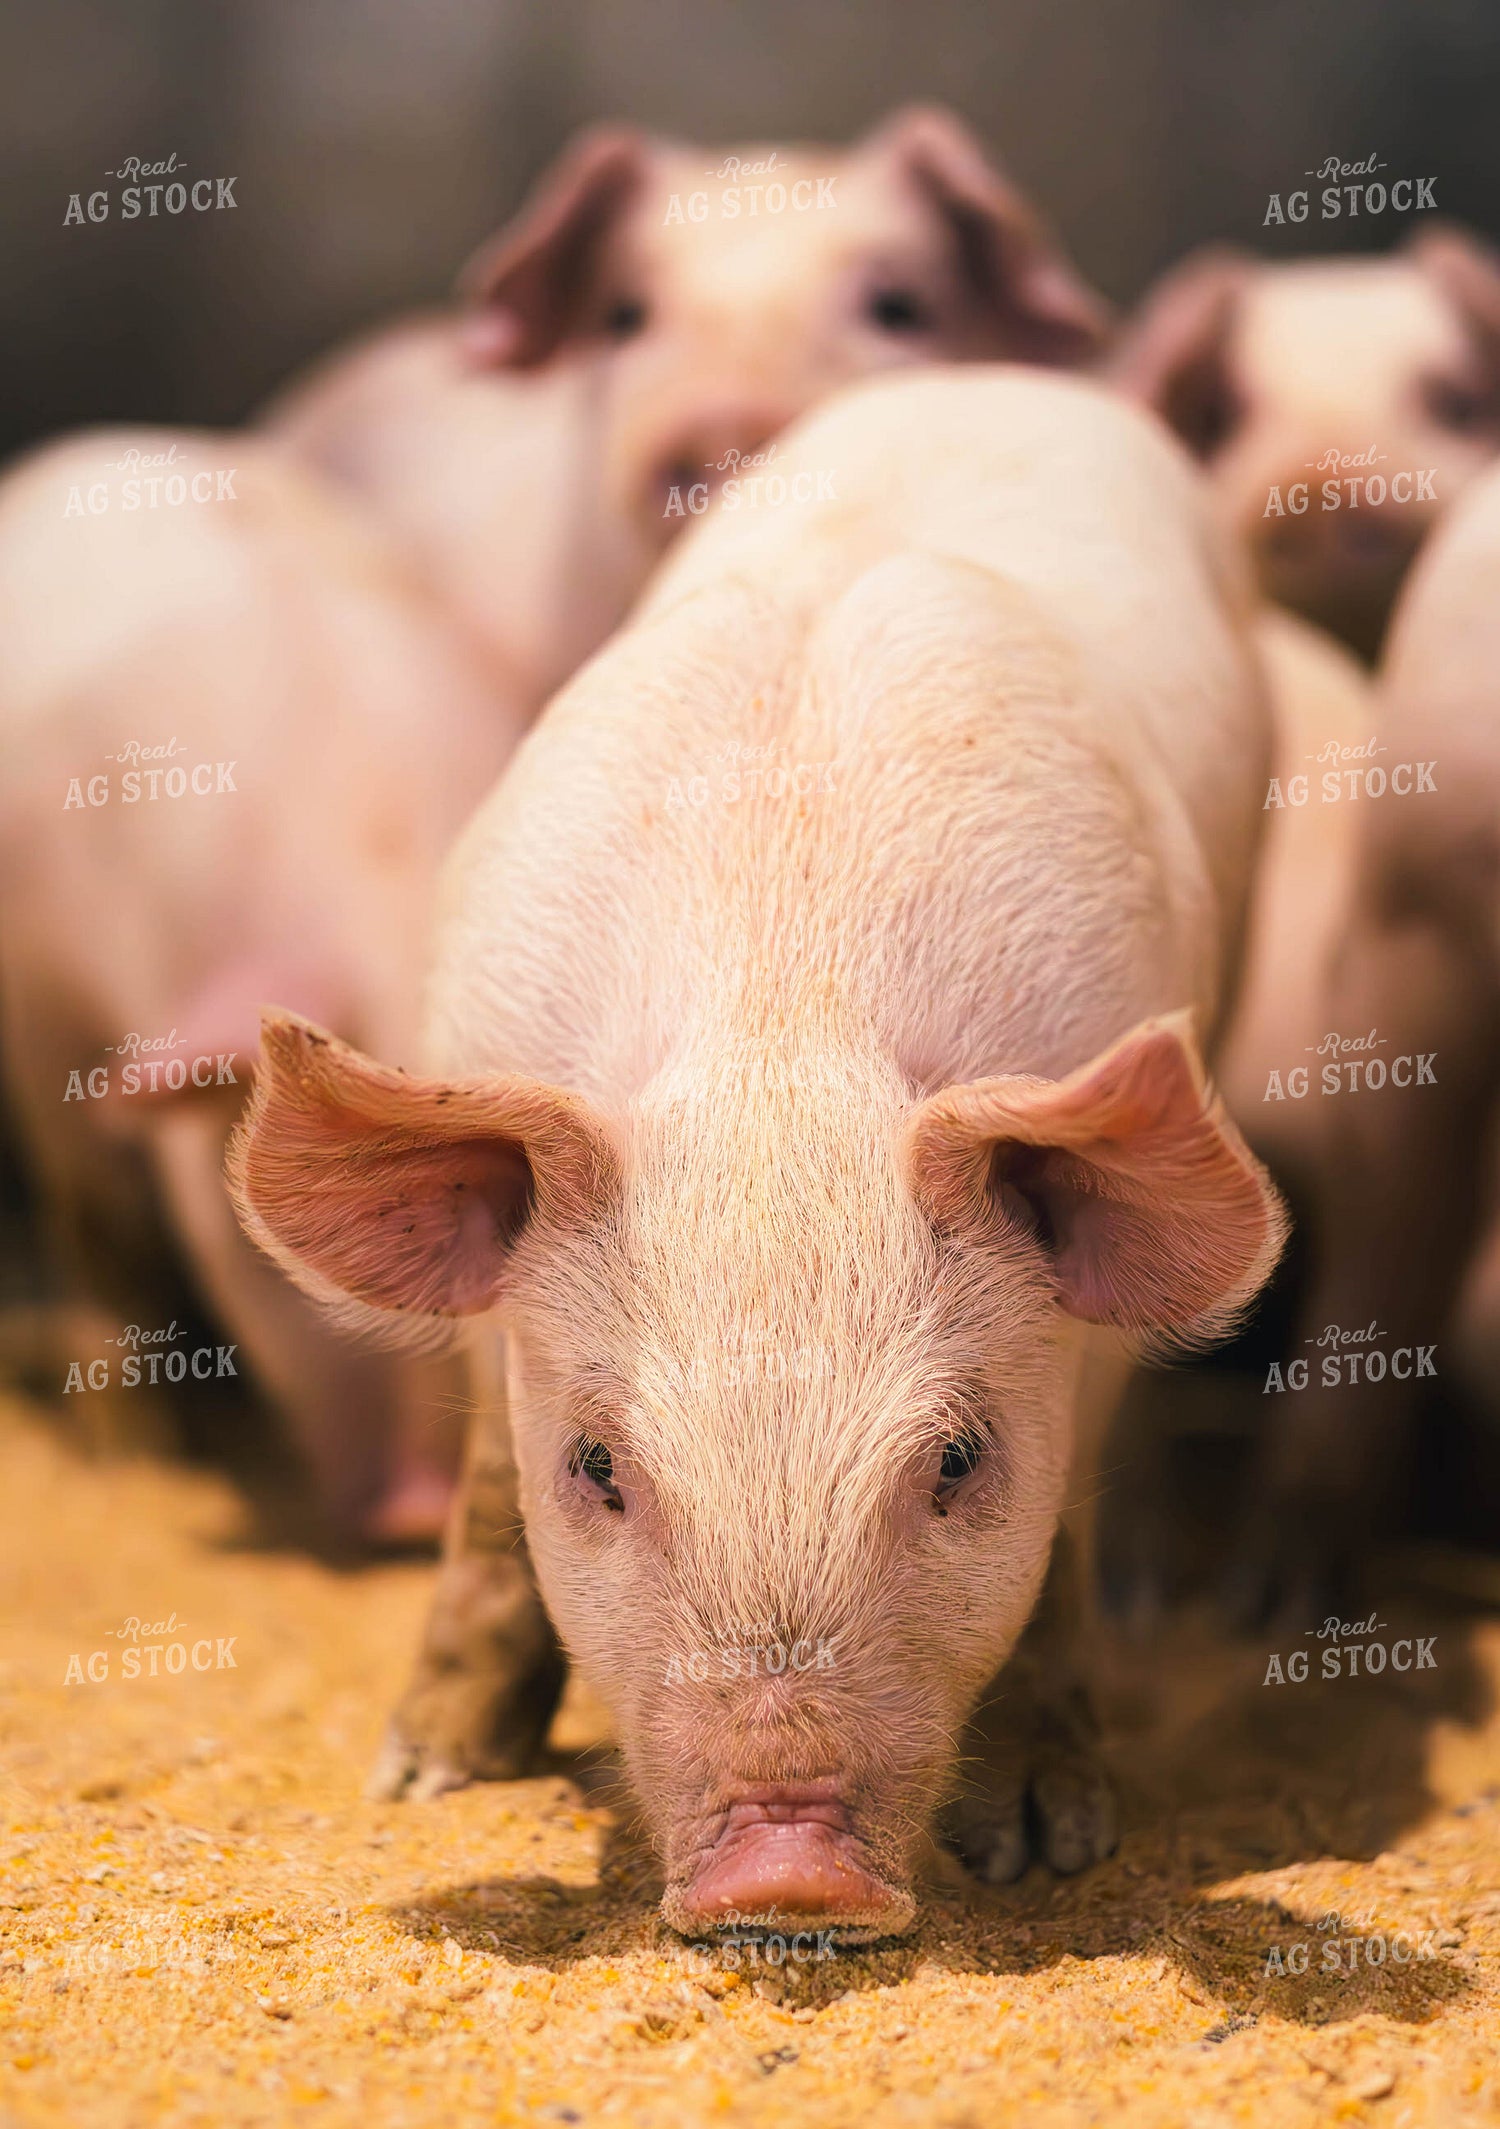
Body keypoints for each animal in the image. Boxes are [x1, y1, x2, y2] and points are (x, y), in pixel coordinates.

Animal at [230, 367, 1284, 1934]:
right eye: (597, 1467)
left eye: (959, 1459)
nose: (788, 1865)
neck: (777, 1031)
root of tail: (989, 377)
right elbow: (482, 1502)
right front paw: (420, 1777)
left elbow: (1058, 1564)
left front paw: (1048, 1845)